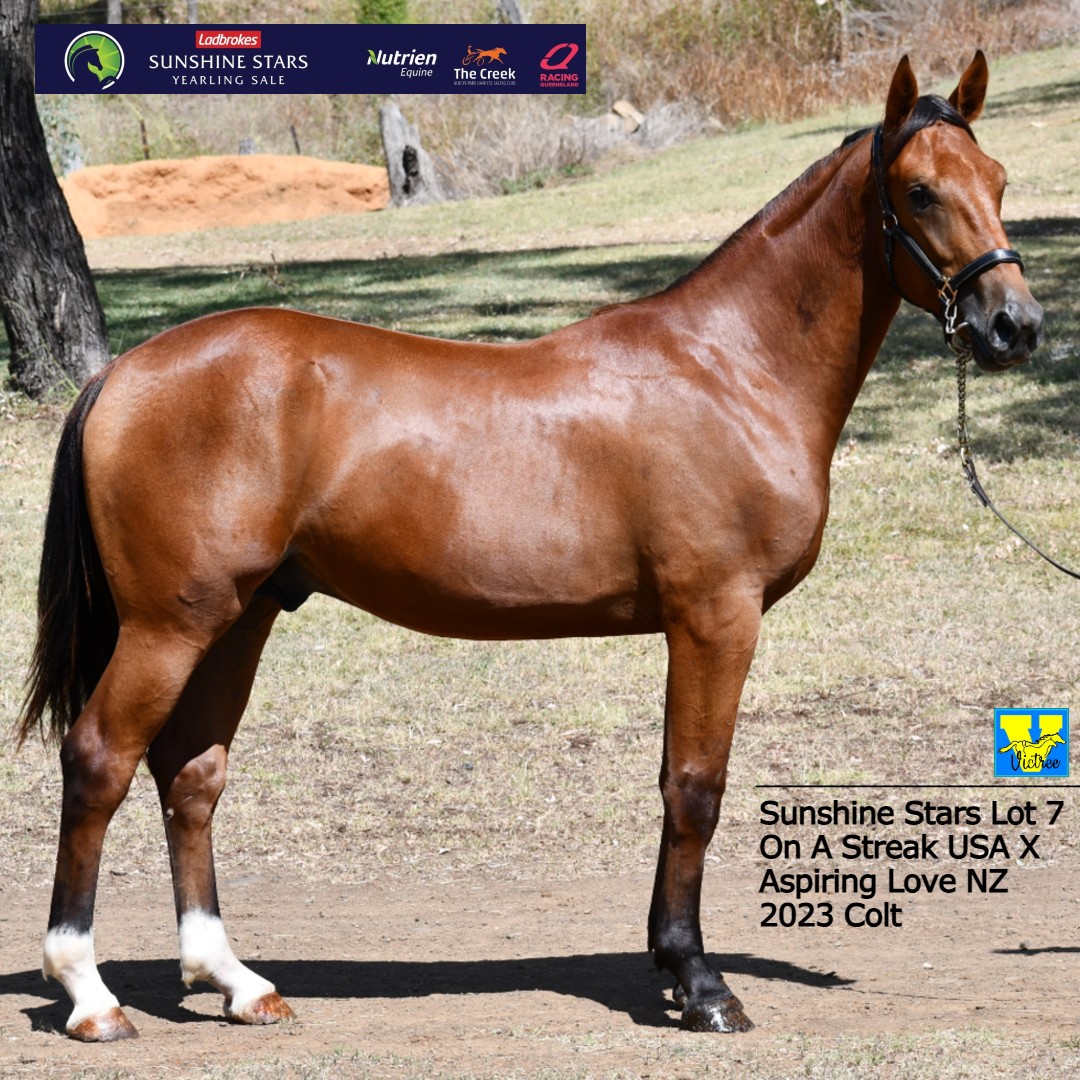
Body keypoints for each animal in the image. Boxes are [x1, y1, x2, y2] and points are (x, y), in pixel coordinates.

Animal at [19, 51, 1042, 1041]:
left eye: (997, 177)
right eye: (919, 191)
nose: (1015, 326)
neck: (732, 368)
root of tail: (123, 373)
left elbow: (676, 784)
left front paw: (671, 963)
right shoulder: (715, 617)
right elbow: (694, 789)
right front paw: (700, 983)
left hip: (241, 617)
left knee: (192, 776)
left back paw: (235, 982)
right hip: (170, 626)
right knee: (100, 760)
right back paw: (90, 996)